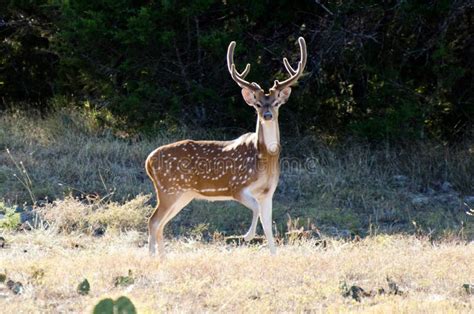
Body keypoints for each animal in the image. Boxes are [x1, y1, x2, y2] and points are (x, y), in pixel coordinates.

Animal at [145, 37, 308, 258]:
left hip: (182, 194)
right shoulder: (237, 186)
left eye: (276, 103)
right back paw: (152, 258)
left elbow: (269, 228)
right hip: (168, 189)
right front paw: (247, 236)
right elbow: (255, 209)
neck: (264, 157)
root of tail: (148, 161)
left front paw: (273, 257)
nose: (267, 115)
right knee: (153, 221)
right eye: (257, 104)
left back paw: (163, 258)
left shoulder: (268, 193)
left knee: (161, 223)